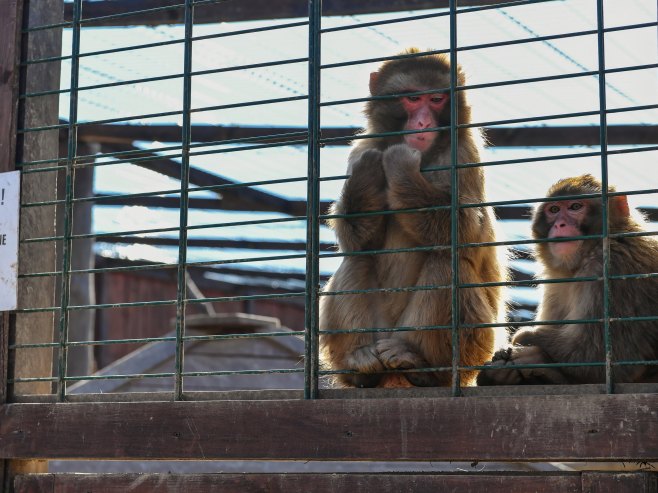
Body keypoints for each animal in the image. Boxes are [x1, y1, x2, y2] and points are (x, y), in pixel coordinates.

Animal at [320, 48, 504, 386]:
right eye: (412, 98)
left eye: (436, 99)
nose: (422, 122)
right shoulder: (360, 150)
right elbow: (356, 237)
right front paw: (367, 176)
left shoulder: (462, 154)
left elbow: (467, 229)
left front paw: (400, 168)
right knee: (357, 257)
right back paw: (360, 363)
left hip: (476, 345)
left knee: (447, 263)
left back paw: (421, 364)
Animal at [476, 173, 656, 384]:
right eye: (554, 210)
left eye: (575, 207)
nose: (559, 224)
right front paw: (498, 375)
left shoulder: (612, 266)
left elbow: (610, 358)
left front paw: (528, 344)